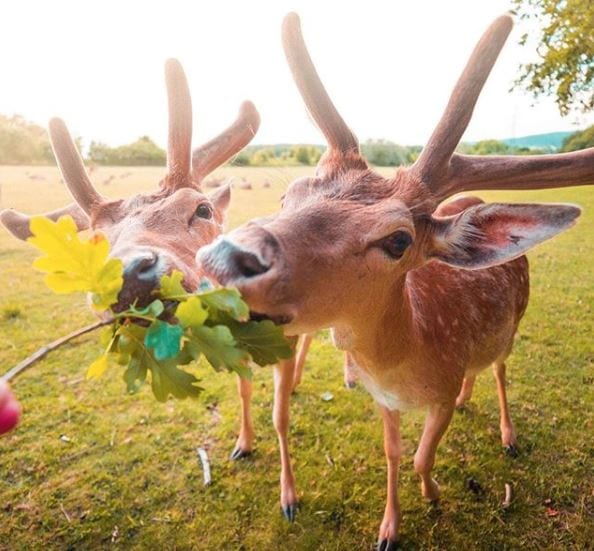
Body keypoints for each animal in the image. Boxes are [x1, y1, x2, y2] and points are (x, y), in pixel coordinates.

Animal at [198, 12, 592, 548]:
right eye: (288, 196)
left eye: (398, 239)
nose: (223, 257)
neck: (408, 361)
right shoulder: (382, 399)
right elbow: (393, 453)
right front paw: (389, 526)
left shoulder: (438, 394)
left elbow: (424, 455)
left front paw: (434, 495)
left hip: (515, 323)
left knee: (500, 368)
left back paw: (509, 436)